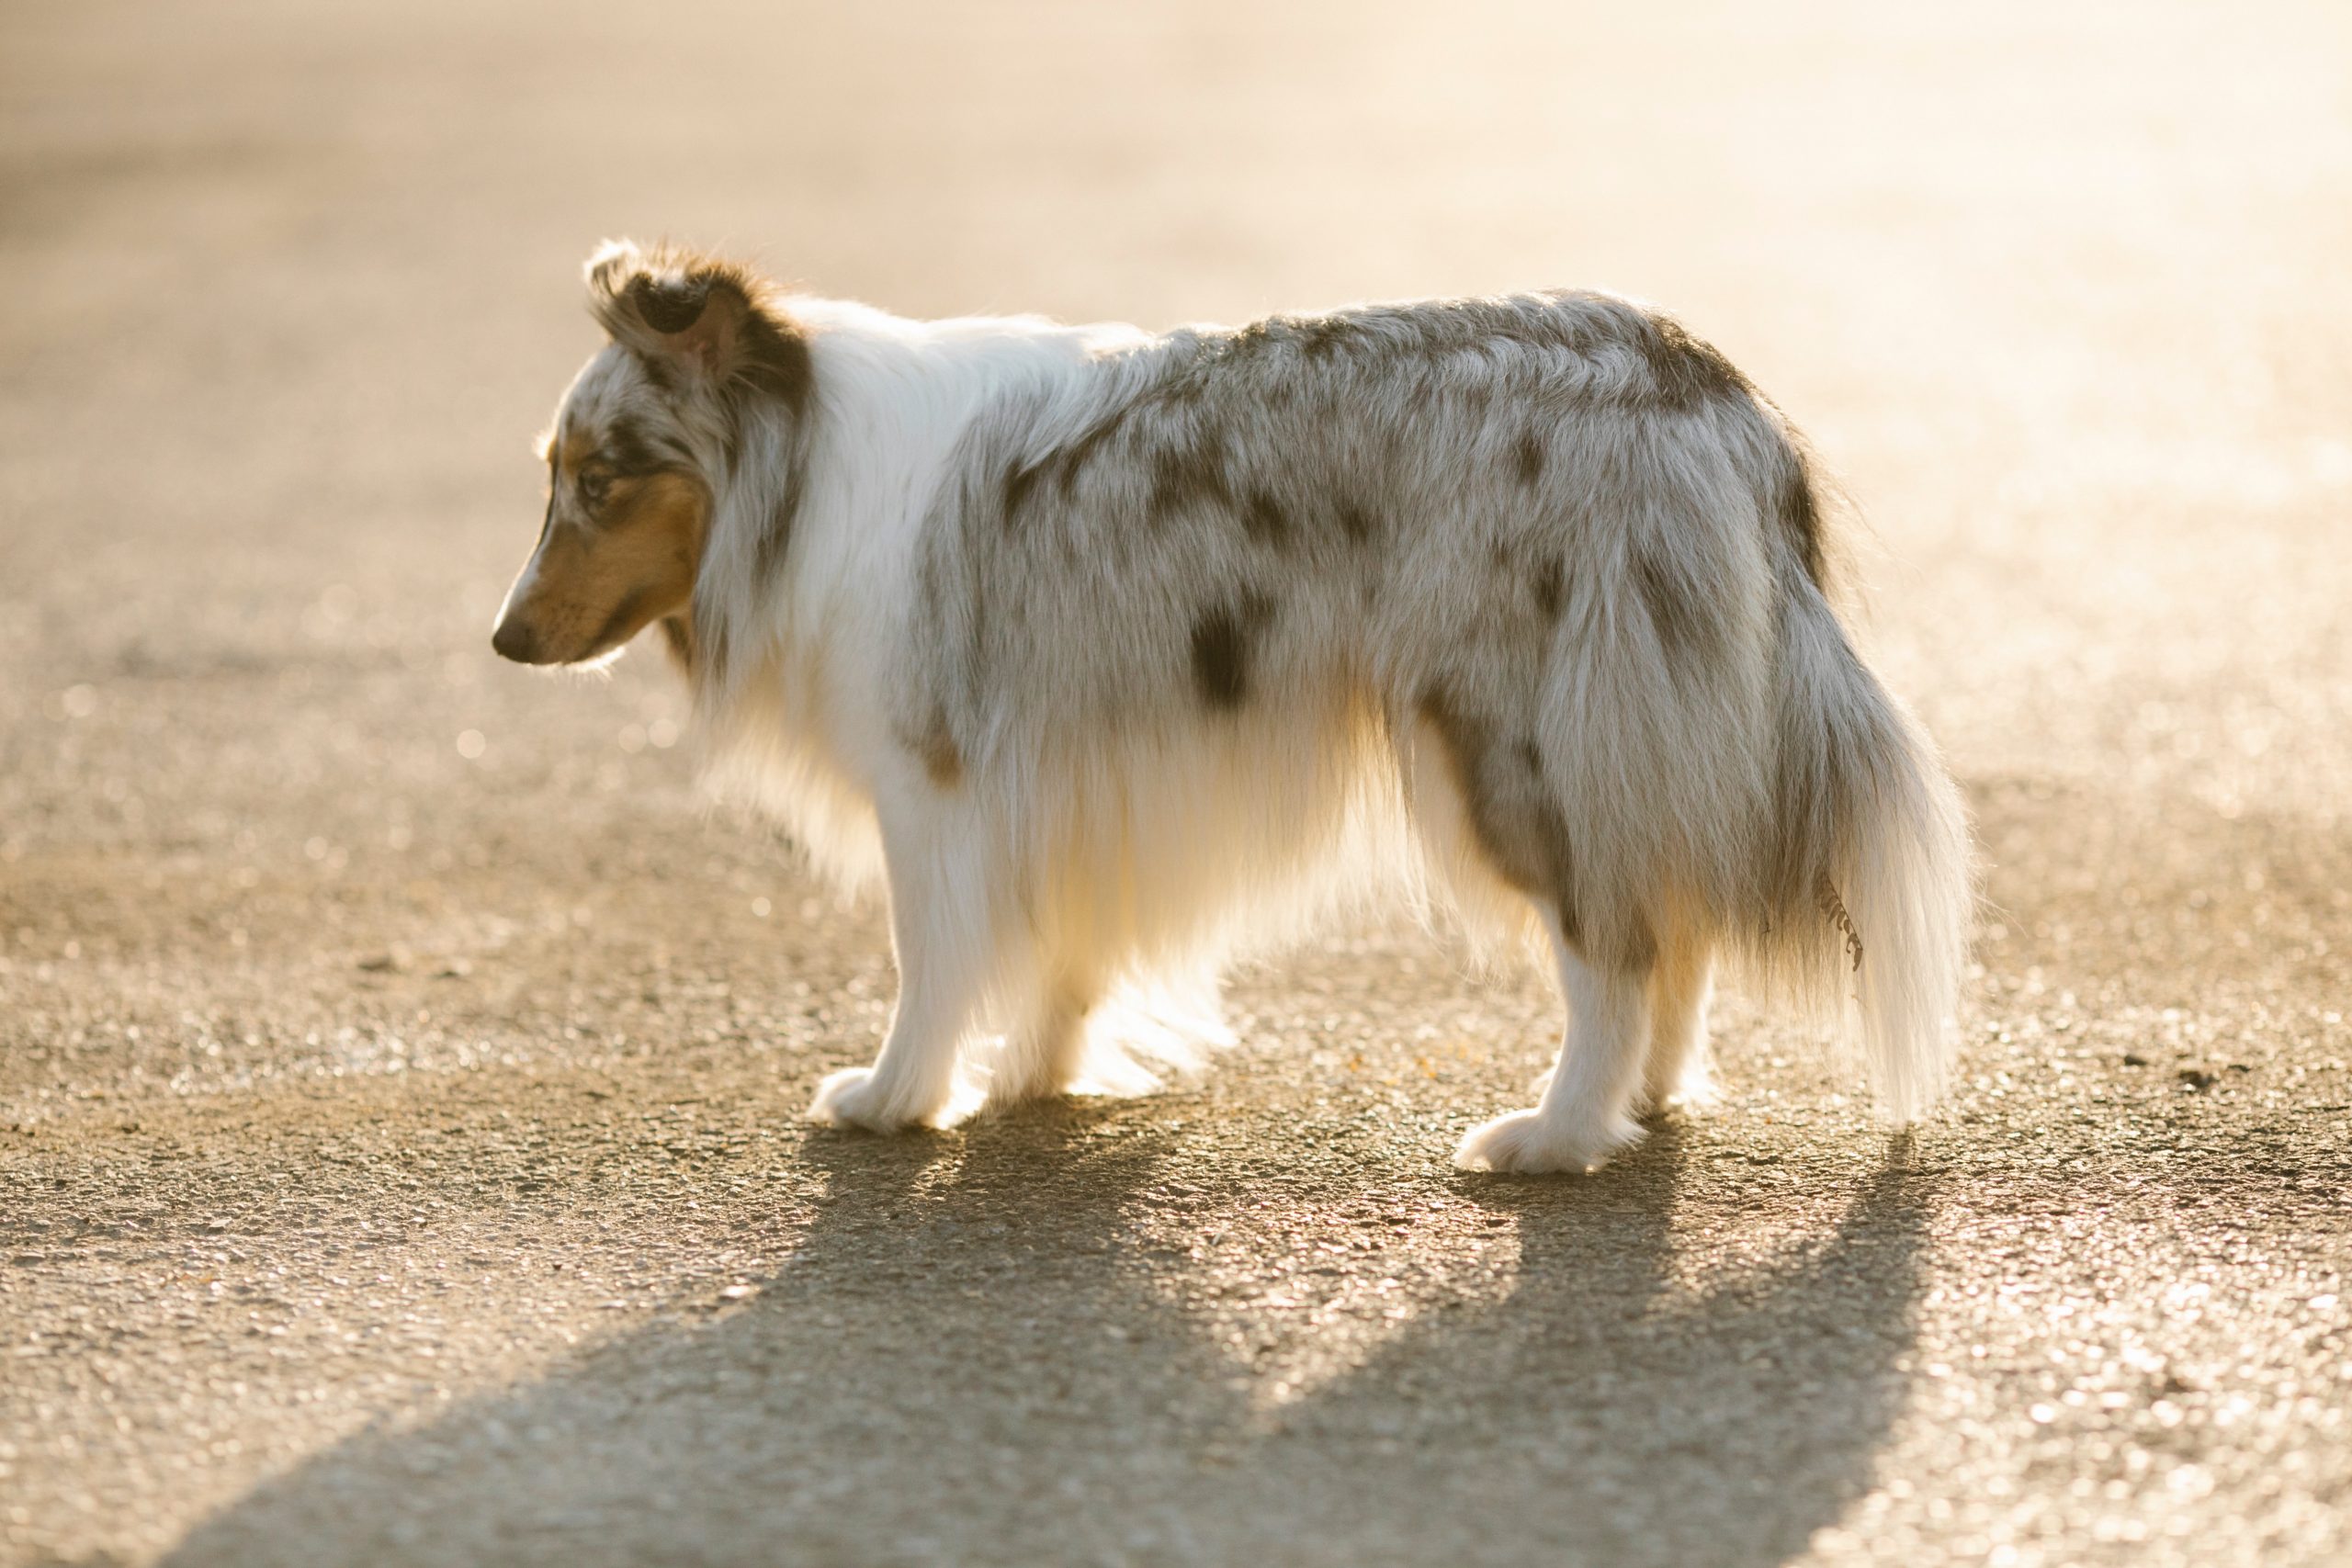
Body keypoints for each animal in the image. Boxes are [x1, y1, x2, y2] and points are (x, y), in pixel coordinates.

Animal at [496, 242, 1966, 1175]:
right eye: (552, 472)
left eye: (603, 479)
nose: (504, 639)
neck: (802, 470)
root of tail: (1716, 397)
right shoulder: (1071, 770)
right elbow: (1063, 950)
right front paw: (1041, 1073)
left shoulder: (933, 780)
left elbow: (931, 958)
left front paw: (896, 1097)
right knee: (1670, 915)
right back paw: (1646, 1103)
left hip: (1514, 730)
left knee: (1614, 940)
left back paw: (1557, 1135)